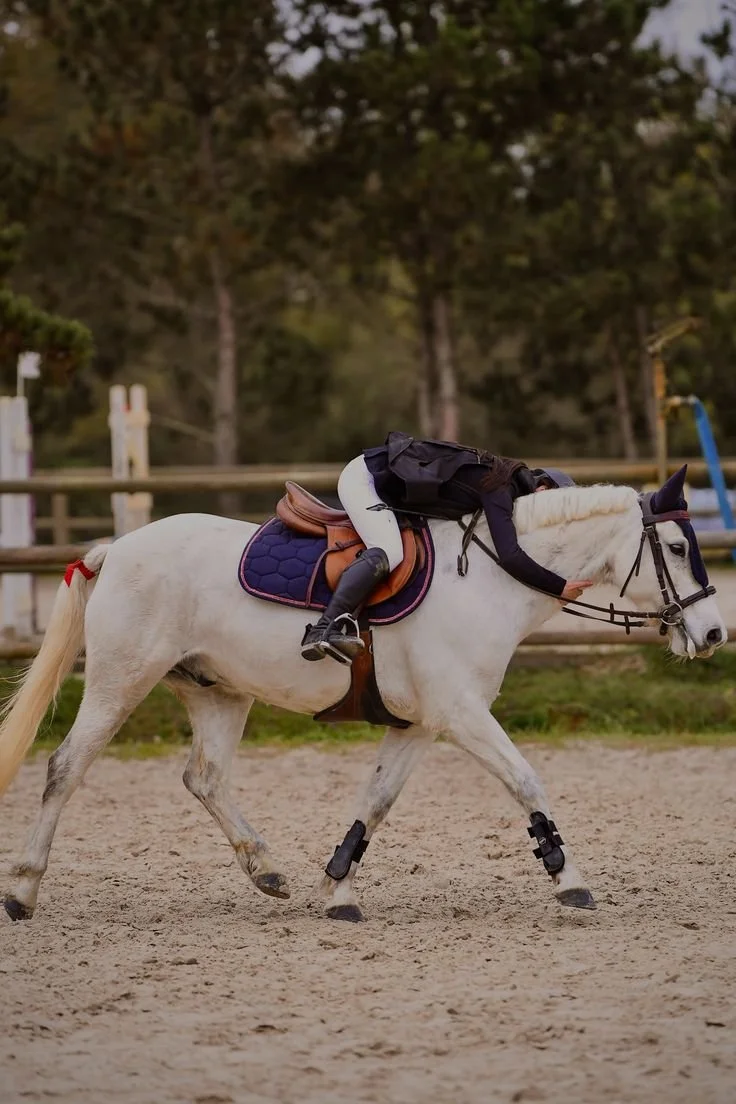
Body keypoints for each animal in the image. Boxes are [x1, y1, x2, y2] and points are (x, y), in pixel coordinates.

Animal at [0, 468, 725, 923]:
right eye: (676, 545)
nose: (715, 633)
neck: (492, 576)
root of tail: (115, 550)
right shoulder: (462, 714)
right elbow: (525, 780)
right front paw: (567, 877)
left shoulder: (419, 724)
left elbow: (375, 803)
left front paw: (338, 888)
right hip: (121, 680)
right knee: (66, 766)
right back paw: (25, 891)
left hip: (218, 692)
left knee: (203, 777)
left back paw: (267, 871)